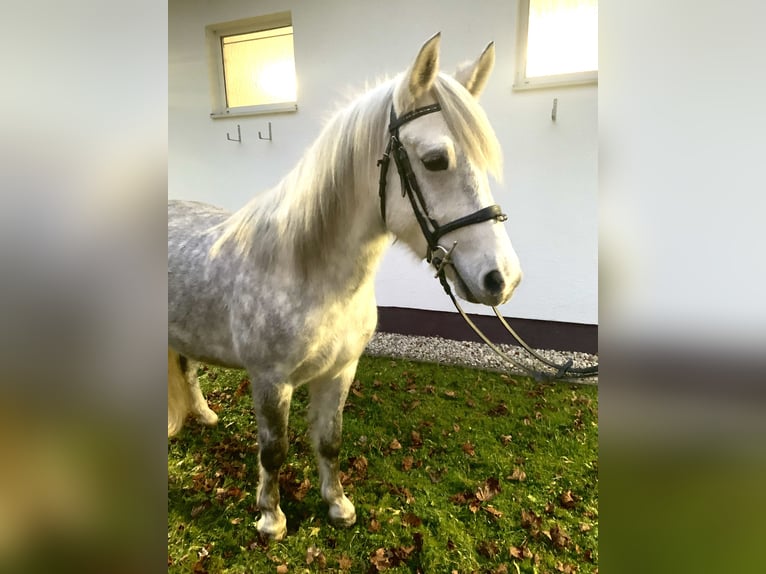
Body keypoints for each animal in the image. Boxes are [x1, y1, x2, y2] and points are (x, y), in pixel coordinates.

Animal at [168, 32, 523, 540]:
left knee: (187, 368)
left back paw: (204, 415)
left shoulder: (340, 372)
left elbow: (329, 441)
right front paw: (271, 518)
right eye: (436, 160)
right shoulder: (271, 382)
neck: (306, 270)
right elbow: (274, 451)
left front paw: (338, 505)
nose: (502, 278)